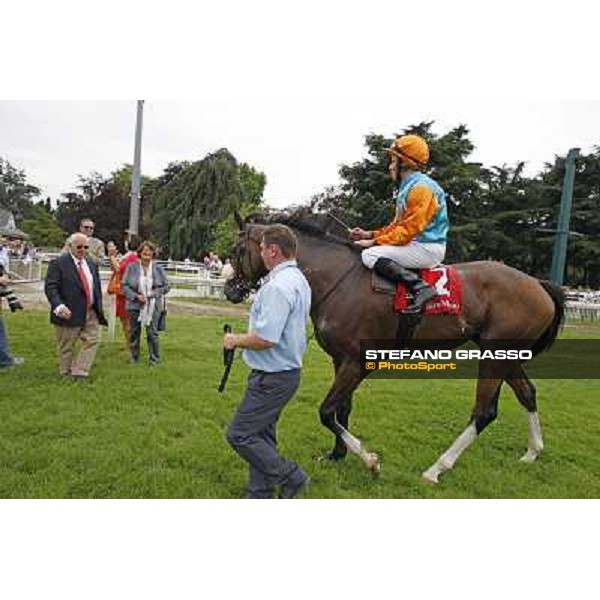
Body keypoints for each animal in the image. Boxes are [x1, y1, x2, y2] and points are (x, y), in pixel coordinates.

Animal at [223, 210, 564, 482]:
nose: (229, 290)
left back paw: (437, 469)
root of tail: (538, 284)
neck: (338, 280)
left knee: (484, 412)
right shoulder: (340, 359)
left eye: (237, 249)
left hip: (495, 355)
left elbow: (327, 411)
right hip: (505, 355)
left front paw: (369, 460)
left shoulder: (358, 362)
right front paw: (336, 456)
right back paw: (532, 452)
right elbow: (341, 410)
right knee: (527, 393)